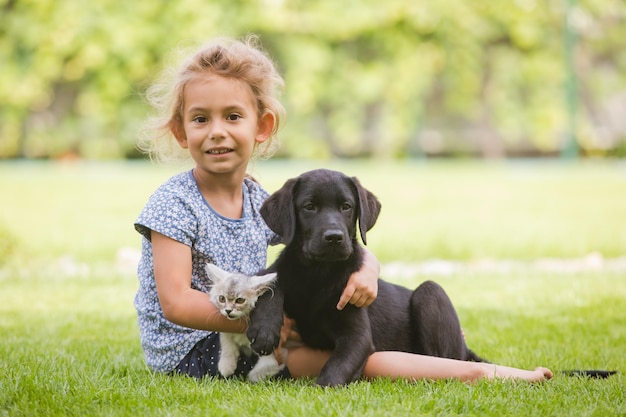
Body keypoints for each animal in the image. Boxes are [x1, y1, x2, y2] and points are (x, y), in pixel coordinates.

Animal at [247, 167, 482, 386]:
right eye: (309, 207)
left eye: (346, 206)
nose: (334, 237)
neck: (319, 273)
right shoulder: (278, 271)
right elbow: (269, 281)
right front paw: (264, 330)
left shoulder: (357, 335)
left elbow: (338, 364)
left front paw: (323, 387)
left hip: (431, 292)